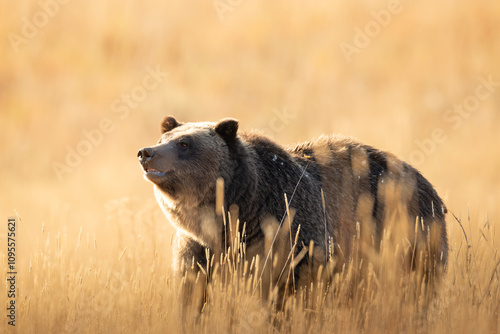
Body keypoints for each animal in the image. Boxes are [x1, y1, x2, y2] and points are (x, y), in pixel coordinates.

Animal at [138, 116, 450, 314]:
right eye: (164, 137)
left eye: (185, 144)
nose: (146, 152)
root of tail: (427, 183)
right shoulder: (199, 250)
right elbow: (193, 295)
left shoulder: (291, 237)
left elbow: (290, 294)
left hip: (407, 234)